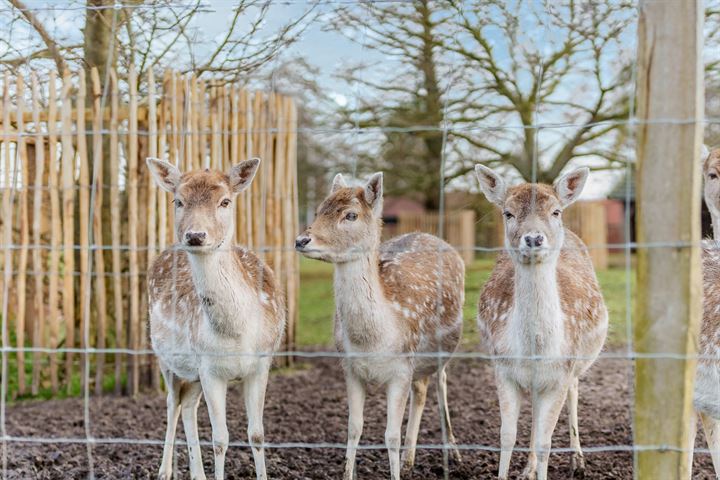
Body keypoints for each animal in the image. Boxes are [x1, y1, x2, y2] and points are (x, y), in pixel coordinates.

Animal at [146, 158, 284, 480]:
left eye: (225, 201)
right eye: (178, 200)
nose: (195, 236)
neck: (237, 333)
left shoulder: (262, 363)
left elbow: (257, 434)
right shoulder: (209, 367)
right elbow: (220, 438)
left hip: (192, 372)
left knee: (187, 405)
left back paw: (197, 474)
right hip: (166, 357)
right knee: (173, 403)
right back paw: (164, 471)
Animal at [296, 172, 464, 480]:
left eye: (350, 215)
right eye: (319, 210)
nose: (302, 239)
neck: (373, 340)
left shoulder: (400, 369)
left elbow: (390, 436)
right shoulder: (350, 368)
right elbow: (354, 428)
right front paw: (347, 473)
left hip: (441, 351)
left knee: (441, 383)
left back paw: (454, 455)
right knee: (421, 389)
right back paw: (410, 460)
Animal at [476, 166, 612, 480]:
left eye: (556, 211)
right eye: (508, 213)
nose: (534, 238)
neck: (534, 350)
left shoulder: (560, 373)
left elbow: (545, 442)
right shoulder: (502, 369)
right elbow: (507, 436)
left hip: (575, 367)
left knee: (573, 394)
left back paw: (577, 460)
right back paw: (528, 468)